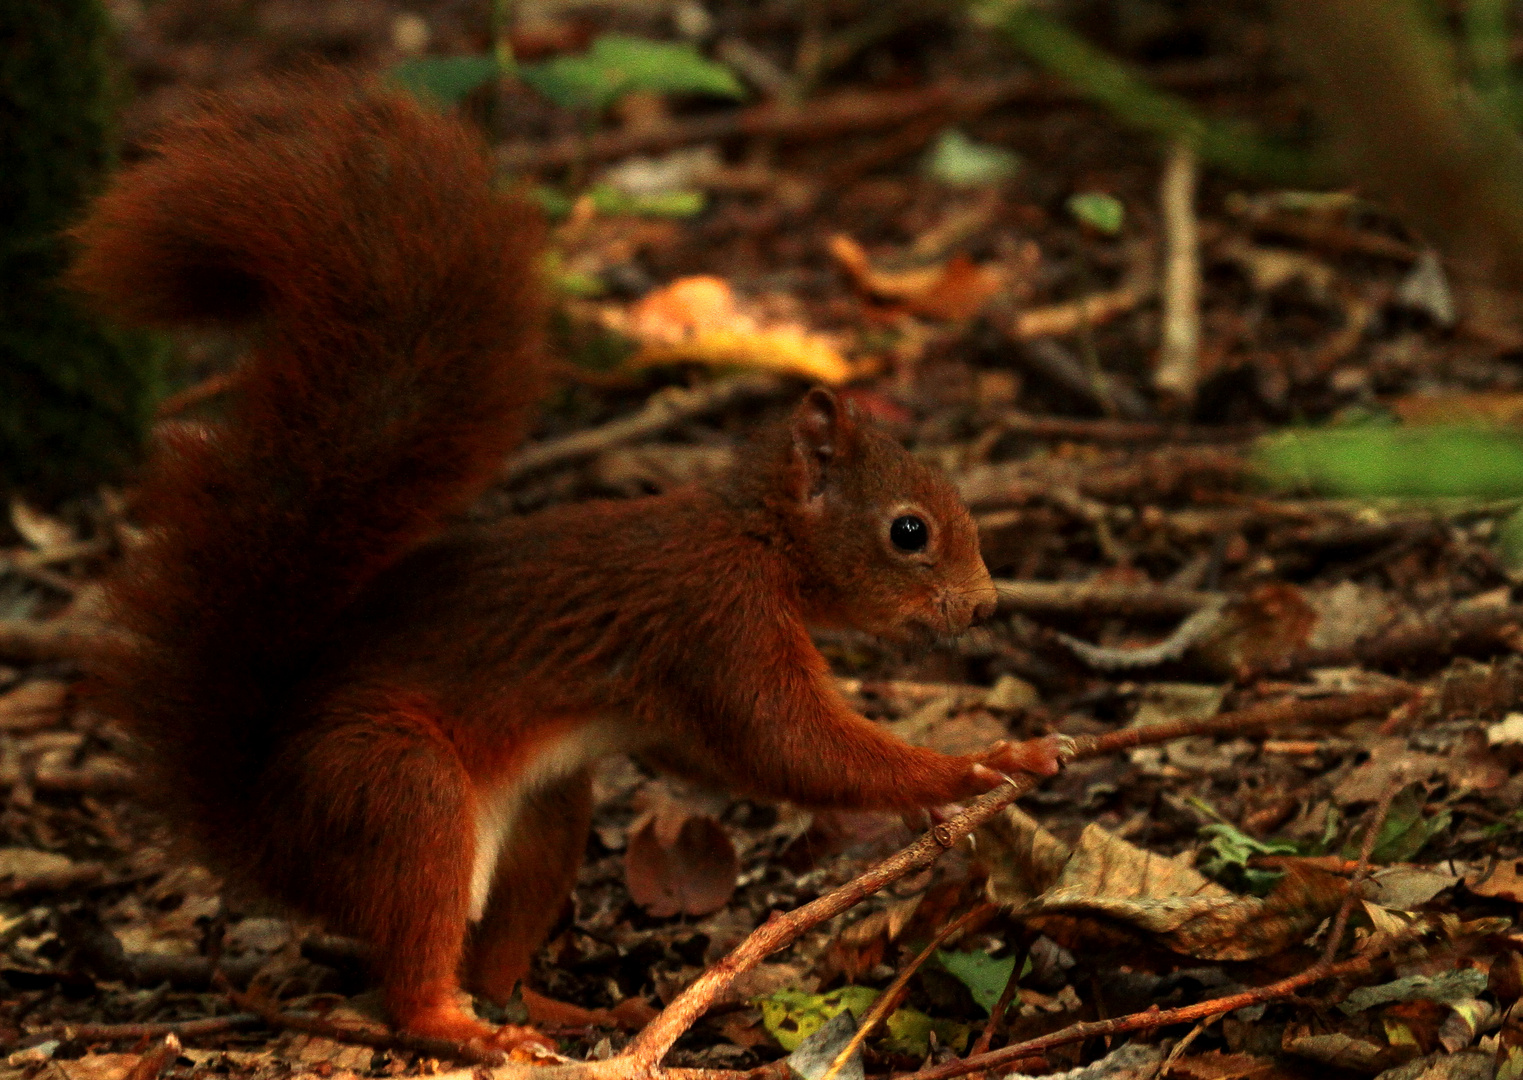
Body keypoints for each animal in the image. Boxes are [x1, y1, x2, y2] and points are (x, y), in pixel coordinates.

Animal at [71, 73, 1066, 1041]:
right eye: (909, 532)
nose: (983, 606)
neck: (757, 540)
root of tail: (264, 834)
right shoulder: (717, 619)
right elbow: (792, 750)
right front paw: (976, 765)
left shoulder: (678, 703)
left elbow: (723, 762)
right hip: (393, 787)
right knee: (411, 965)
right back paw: (460, 1026)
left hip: (546, 812)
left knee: (498, 949)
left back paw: (565, 1009)